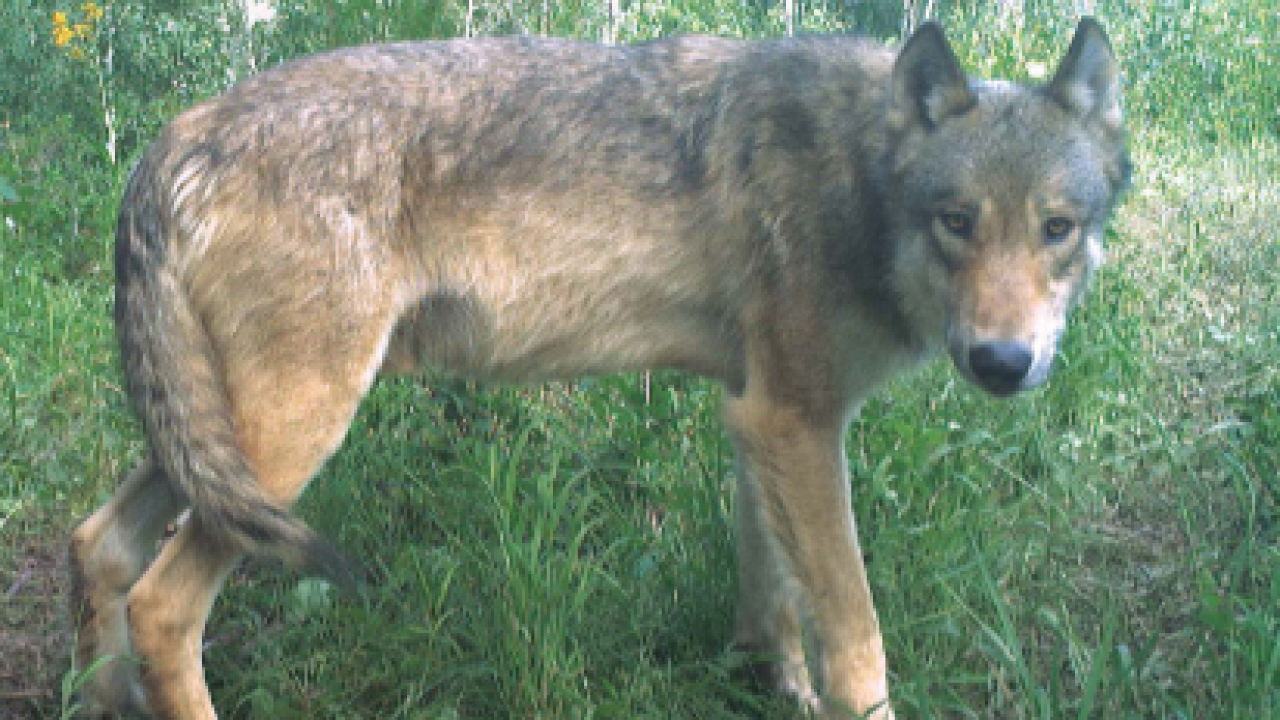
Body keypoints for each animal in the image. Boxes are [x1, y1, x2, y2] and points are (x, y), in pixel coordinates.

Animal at [69, 17, 1128, 719]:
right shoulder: (796, 420)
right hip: (286, 448)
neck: (855, 176)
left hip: (219, 451)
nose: (1003, 362)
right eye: (957, 222)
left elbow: (776, 594)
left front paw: (770, 680)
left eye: (1056, 229)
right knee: (161, 605)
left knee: (98, 544)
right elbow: (856, 635)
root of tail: (171, 141)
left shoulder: (757, 416)